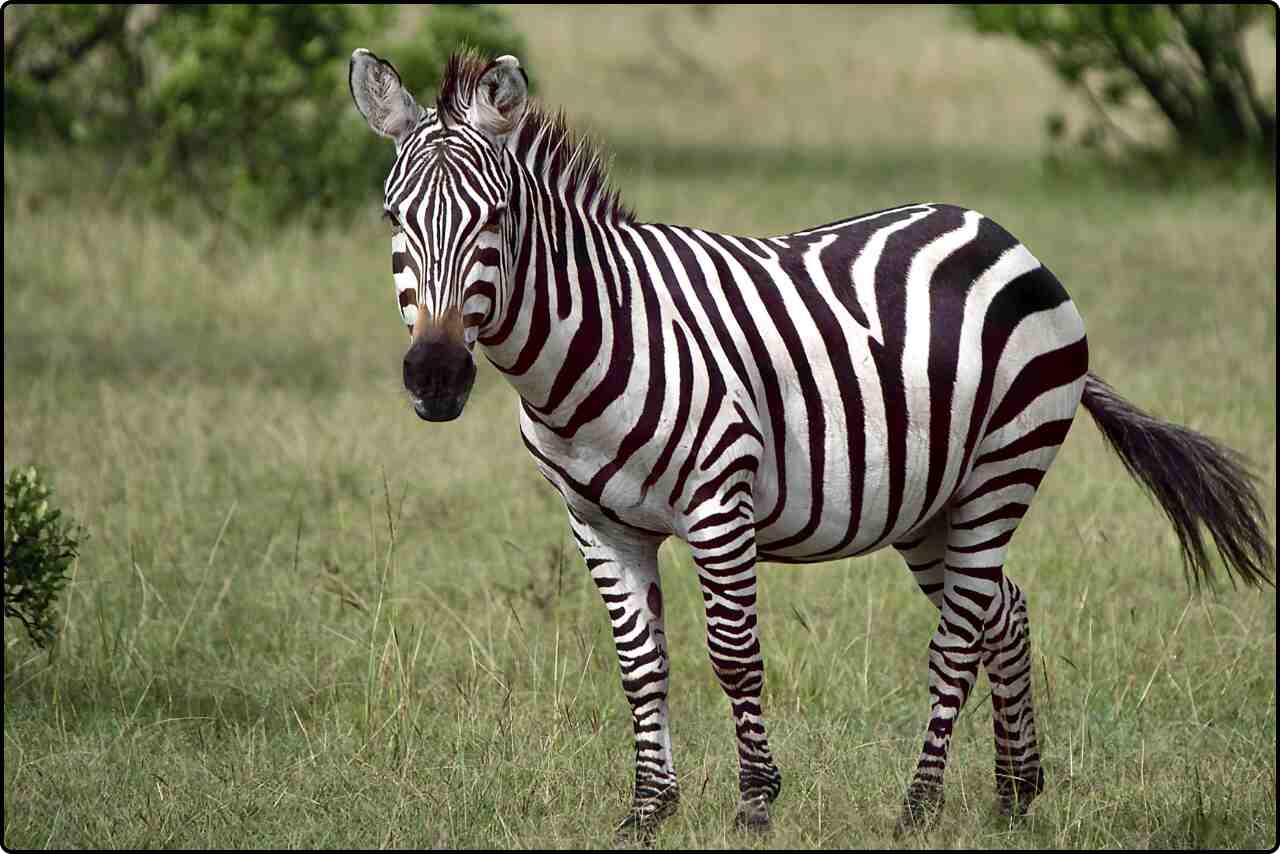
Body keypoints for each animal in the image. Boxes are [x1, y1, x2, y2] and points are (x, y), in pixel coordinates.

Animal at [345, 48, 1274, 834]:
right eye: (393, 217)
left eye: (497, 216)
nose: (435, 376)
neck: (593, 339)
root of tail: (1000, 232)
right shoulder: (597, 523)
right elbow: (640, 664)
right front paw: (647, 812)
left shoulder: (719, 502)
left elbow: (734, 657)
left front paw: (756, 804)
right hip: (928, 502)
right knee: (1002, 612)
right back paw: (1014, 797)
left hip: (1000, 471)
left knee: (958, 638)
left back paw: (918, 807)